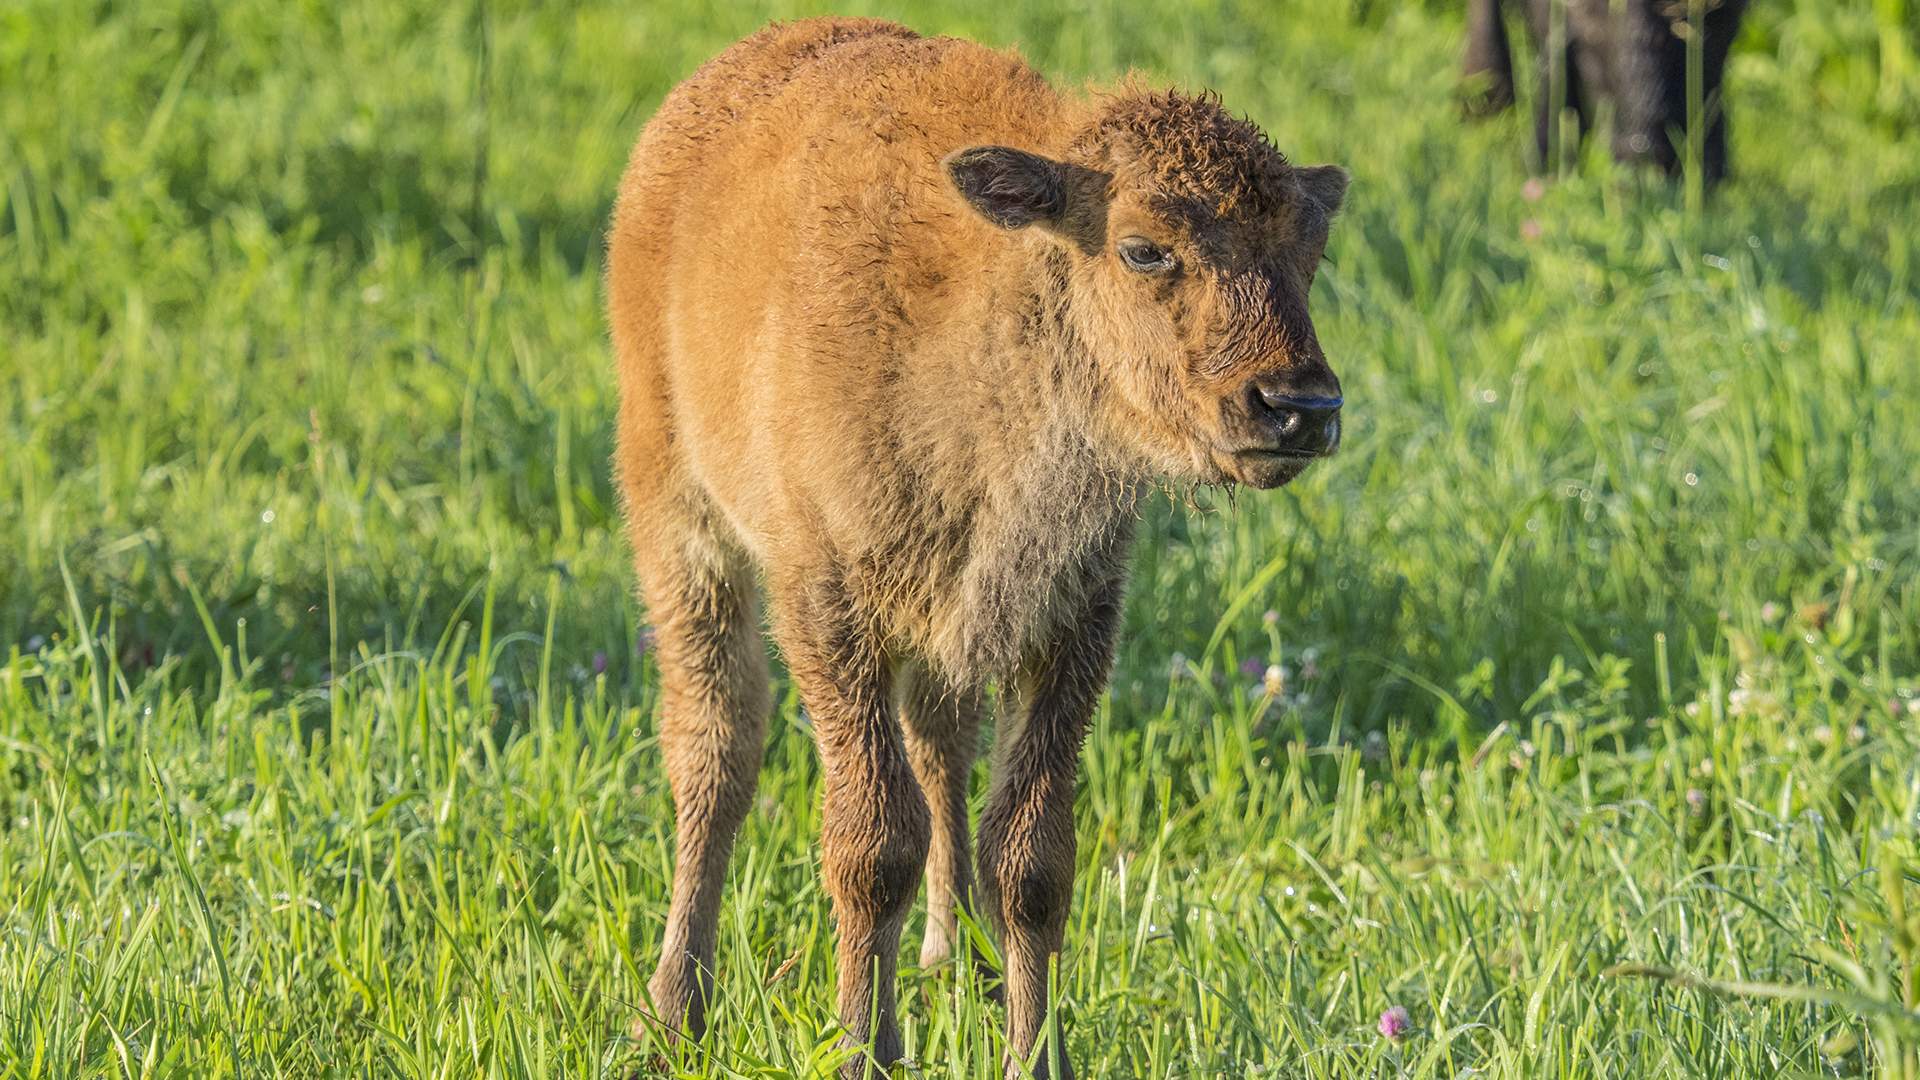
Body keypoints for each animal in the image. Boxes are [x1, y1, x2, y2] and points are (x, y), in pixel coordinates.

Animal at [610, 18, 1351, 1076]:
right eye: (1143, 249)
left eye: (1309, 249)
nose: (1300, 407)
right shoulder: (827, 604)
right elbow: (872, 844)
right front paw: (865, 1049)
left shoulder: (1068, 616)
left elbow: (1031, 856)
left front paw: (1032, 1050)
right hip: (678, 515)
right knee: (716, 753)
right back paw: (675, 1011)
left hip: (942, 631)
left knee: (939, 749)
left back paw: (952, 962)